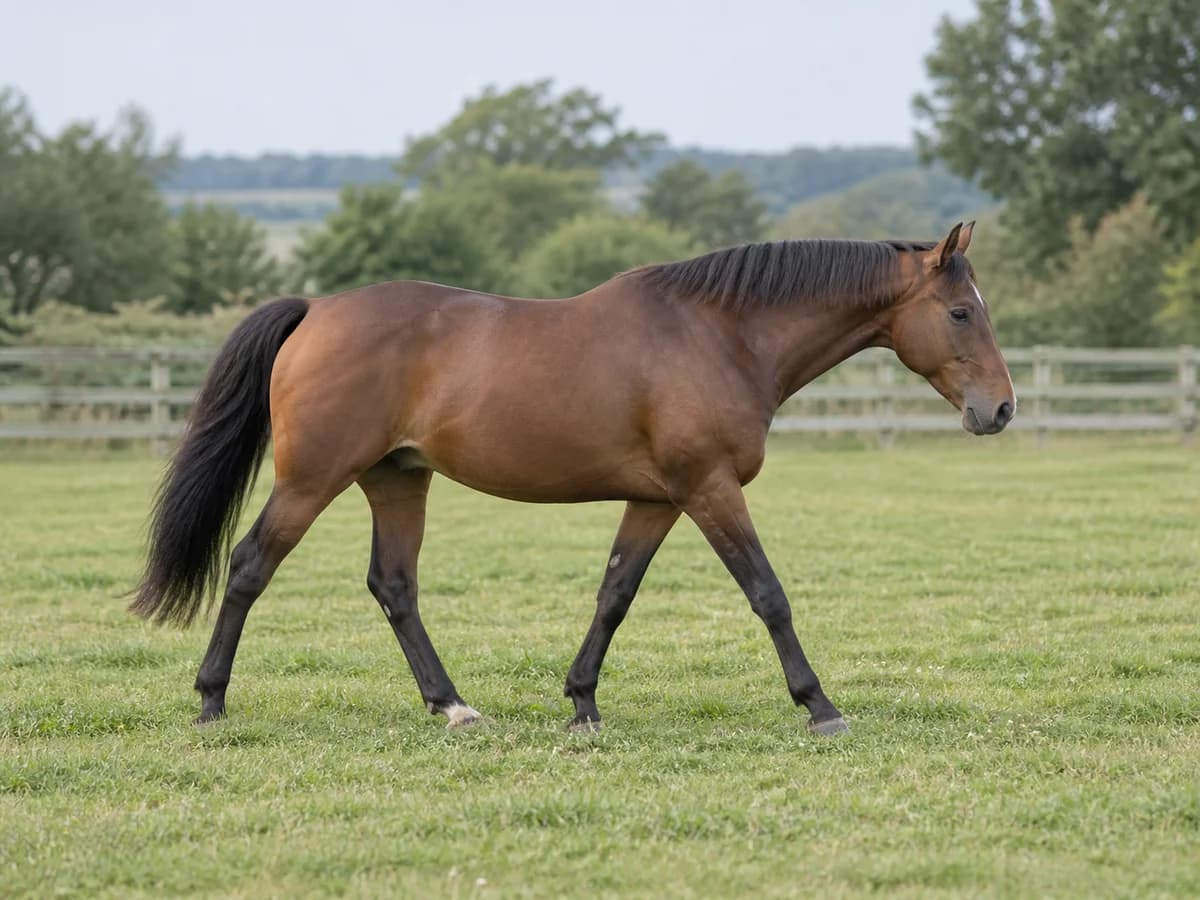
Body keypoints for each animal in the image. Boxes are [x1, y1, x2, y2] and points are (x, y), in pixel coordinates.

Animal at [132, 221, 1015, 736]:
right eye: (961, 311)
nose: (1000, 409)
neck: (720, 335)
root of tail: (317, 310)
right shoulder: (709, 489)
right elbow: (767, 593)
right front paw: (819, 706)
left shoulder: (657, 498)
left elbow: (615, 594)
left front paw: (582, 701)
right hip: (312, 480)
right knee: (250, 566)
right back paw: (211, 700)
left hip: (397, 479)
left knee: (394, 586)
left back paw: (451, 704)